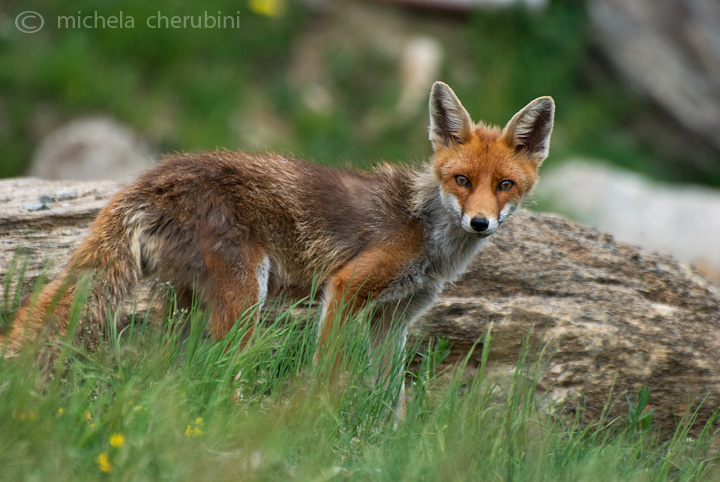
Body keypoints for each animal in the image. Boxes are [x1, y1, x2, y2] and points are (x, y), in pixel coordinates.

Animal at [2, 83, 556, 398]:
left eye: (504, 185)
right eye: (462, 180)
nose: (480, 223)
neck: (425, 230)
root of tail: (155, 176)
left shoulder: (395, 319)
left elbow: (389, 399)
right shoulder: (346, 288)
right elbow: (327, 370)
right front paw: (314, 422)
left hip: (186, 306)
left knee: (171, 369)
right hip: (246, 300)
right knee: (217, 373)